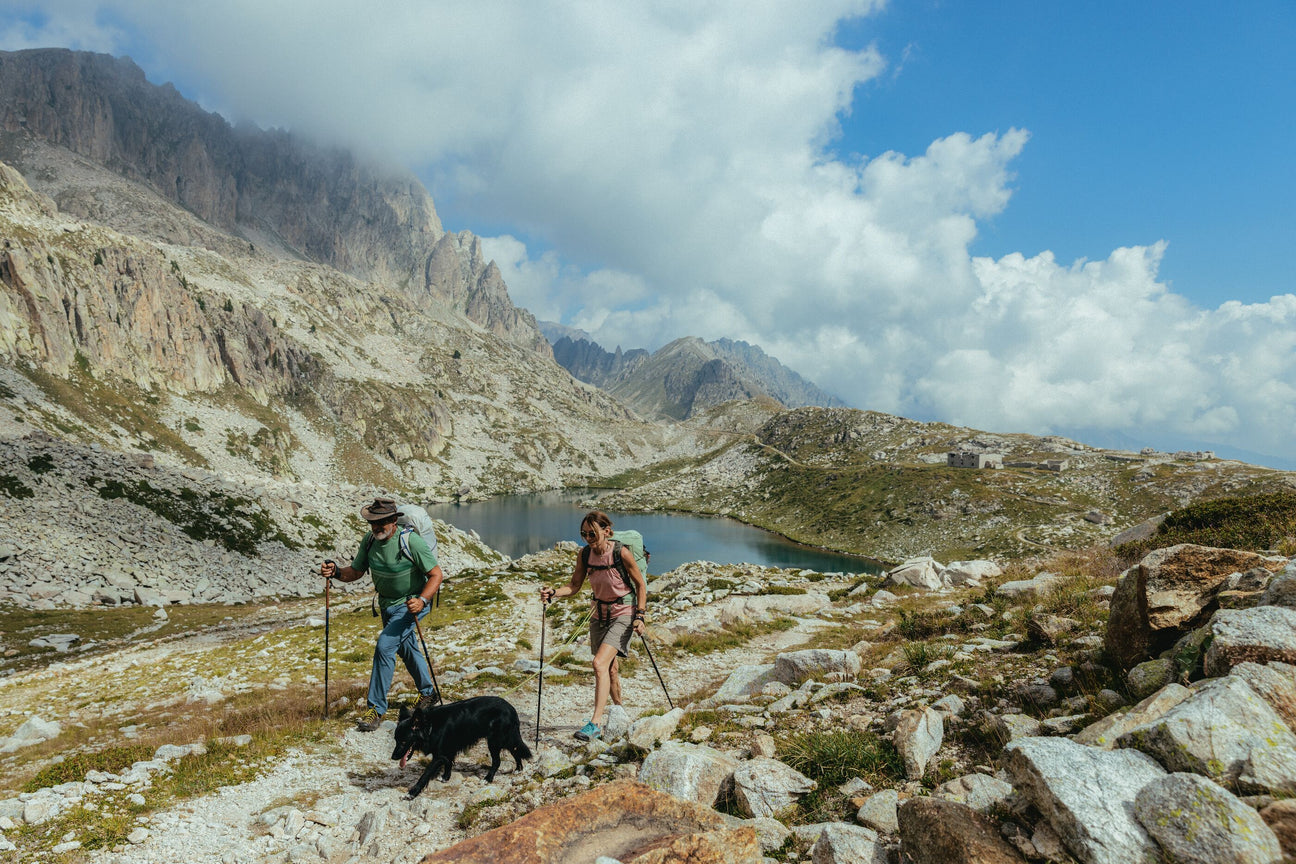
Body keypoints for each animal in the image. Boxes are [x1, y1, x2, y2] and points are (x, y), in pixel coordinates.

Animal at [388, 694, 531, 797]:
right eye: (395, 740)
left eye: (404, 742)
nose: (393, 757)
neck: (430, 726)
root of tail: (511, 708)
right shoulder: (448, 751)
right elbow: (448, 763)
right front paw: (445, 777)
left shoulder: (439, 755)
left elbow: (426, 774)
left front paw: (412, 792)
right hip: (505, 738)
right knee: (515, 750)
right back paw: (518, 768)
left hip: (494, 741)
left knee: (497, 761)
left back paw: (488, 778)